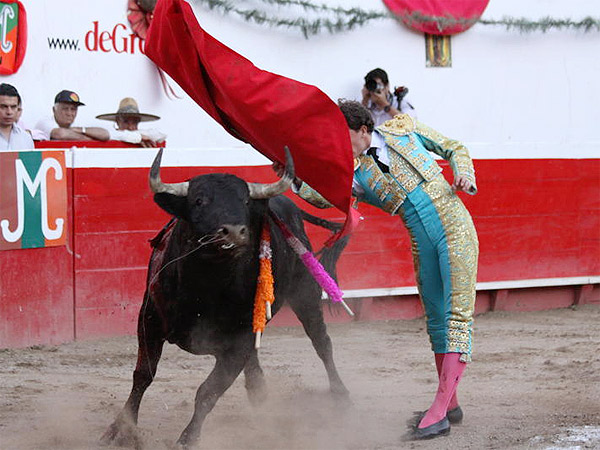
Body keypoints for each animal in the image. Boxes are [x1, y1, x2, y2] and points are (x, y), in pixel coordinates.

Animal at [101, 148, 350, 449]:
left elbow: (208, 391)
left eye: (244, 201)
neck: (206, 284)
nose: (233, 231)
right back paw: (260, 395)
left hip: (306, 295)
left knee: (321, 342)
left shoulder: (237, 344)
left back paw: (340, 394)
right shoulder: (149, 320)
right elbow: (143, 376)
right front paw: (121, 430)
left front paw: (188, 439)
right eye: (198, 200)